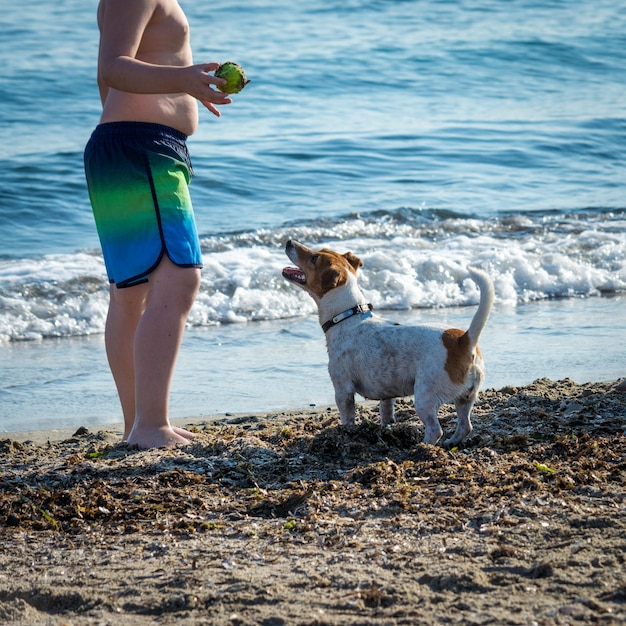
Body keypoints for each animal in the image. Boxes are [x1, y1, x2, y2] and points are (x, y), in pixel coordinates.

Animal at [282, 239, 492, 444]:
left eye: (314, 258)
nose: (289, 241)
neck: (347, 316)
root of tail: (464, 340)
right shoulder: (386, 395)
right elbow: (386, 413)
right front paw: (386, 428)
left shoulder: (343, 390)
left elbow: (347, 418)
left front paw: (345, 433)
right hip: (465, 398)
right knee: (465, 426)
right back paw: (451, 442)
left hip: (425, 397)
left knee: (435, 430)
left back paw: (423, 446)